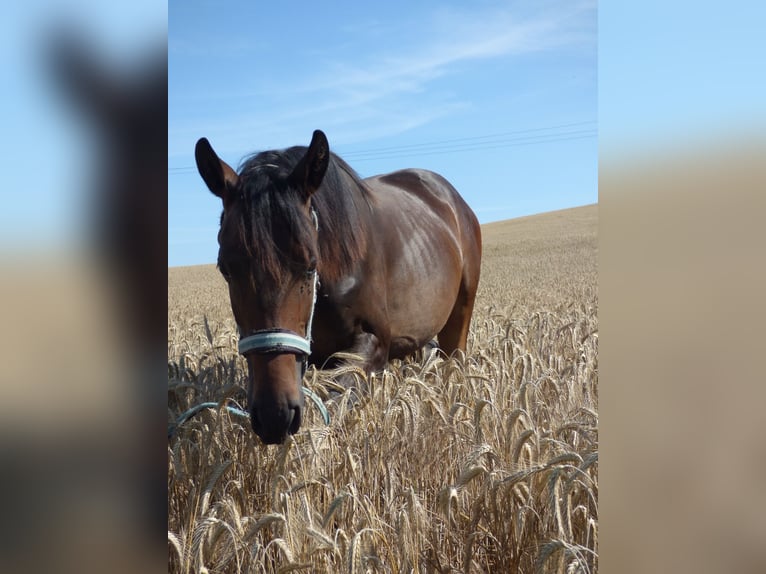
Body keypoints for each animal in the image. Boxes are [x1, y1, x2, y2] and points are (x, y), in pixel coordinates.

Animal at [195, 130, 484, 446]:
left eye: (311, 265)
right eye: (225, 269)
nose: (275, 414)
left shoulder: (373, 342)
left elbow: (336, 400)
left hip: (460, 316)